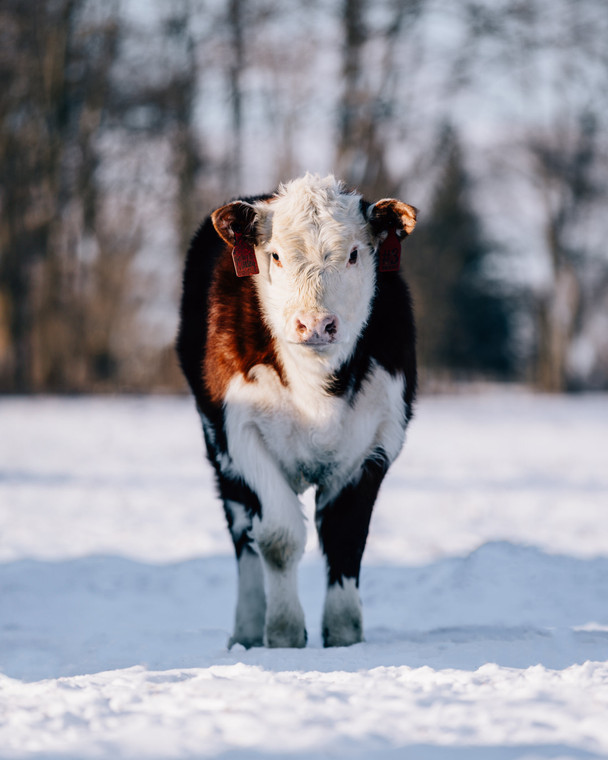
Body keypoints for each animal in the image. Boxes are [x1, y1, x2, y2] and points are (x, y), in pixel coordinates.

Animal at [176, 175, 418, 652]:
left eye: (354, 253)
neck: (317, 390)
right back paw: (248, 630)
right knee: (243, 534)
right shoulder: (240, 433)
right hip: (220, 457)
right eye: (275, 255)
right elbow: (278, 537)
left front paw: (344, 635)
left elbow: (345, 535)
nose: (316, 324)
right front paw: (284, 633)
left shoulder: (377, 440)